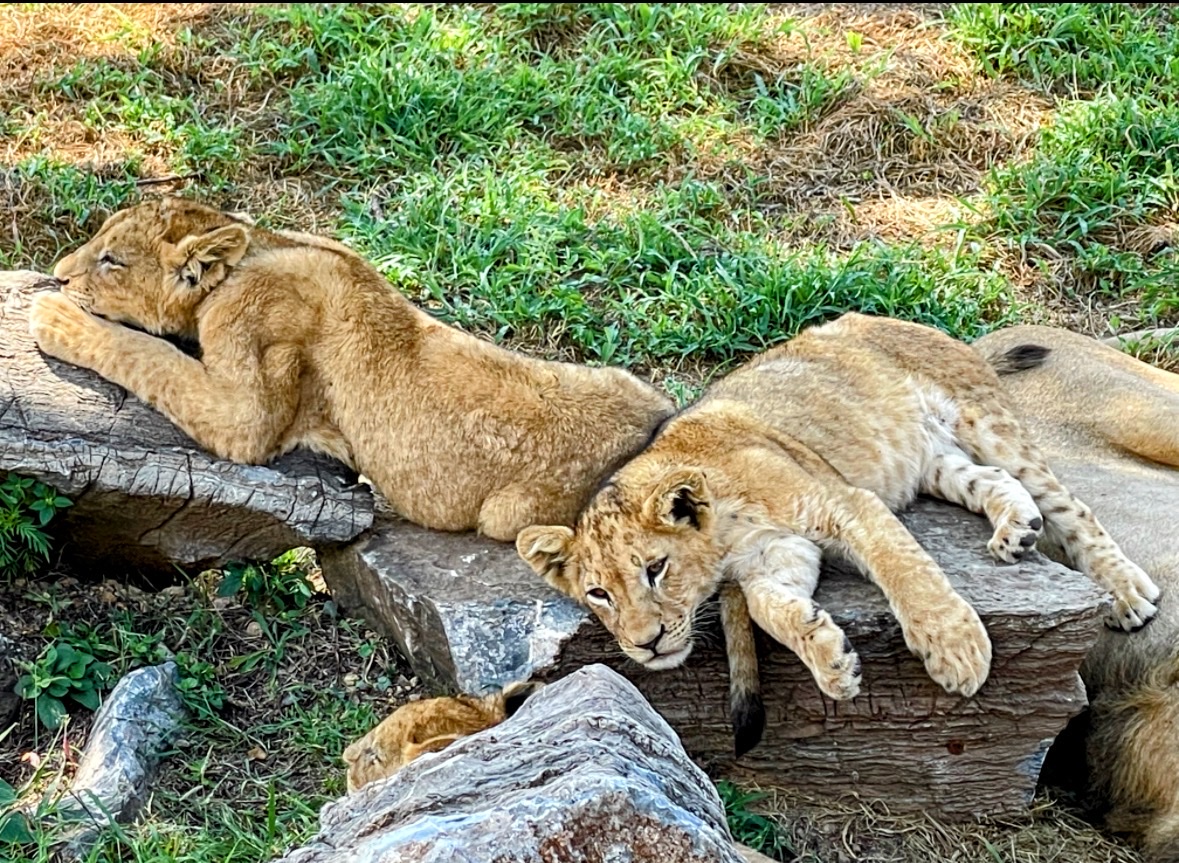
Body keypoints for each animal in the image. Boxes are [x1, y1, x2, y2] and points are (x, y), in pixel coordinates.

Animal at [27, 198, 674, 541]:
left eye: (111, 260)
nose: (57, 273)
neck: (255, 253)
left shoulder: (250, 416)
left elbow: (151, 356)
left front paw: (56, 318)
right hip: (621, 376)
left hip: (509, 516)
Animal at [517, 313, 1160, 753]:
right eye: (598, 594)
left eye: (656, 569)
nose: (646, 645)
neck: (724, 544)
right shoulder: (779, 555)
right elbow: (766, 605)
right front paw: (830, 658)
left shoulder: (844, 503)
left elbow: (907, 570)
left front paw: (955, 649)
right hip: (930, 461)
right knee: (992, 480)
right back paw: (1017, 531)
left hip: (988, 422)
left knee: (1071, 507)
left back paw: (1128, 594)